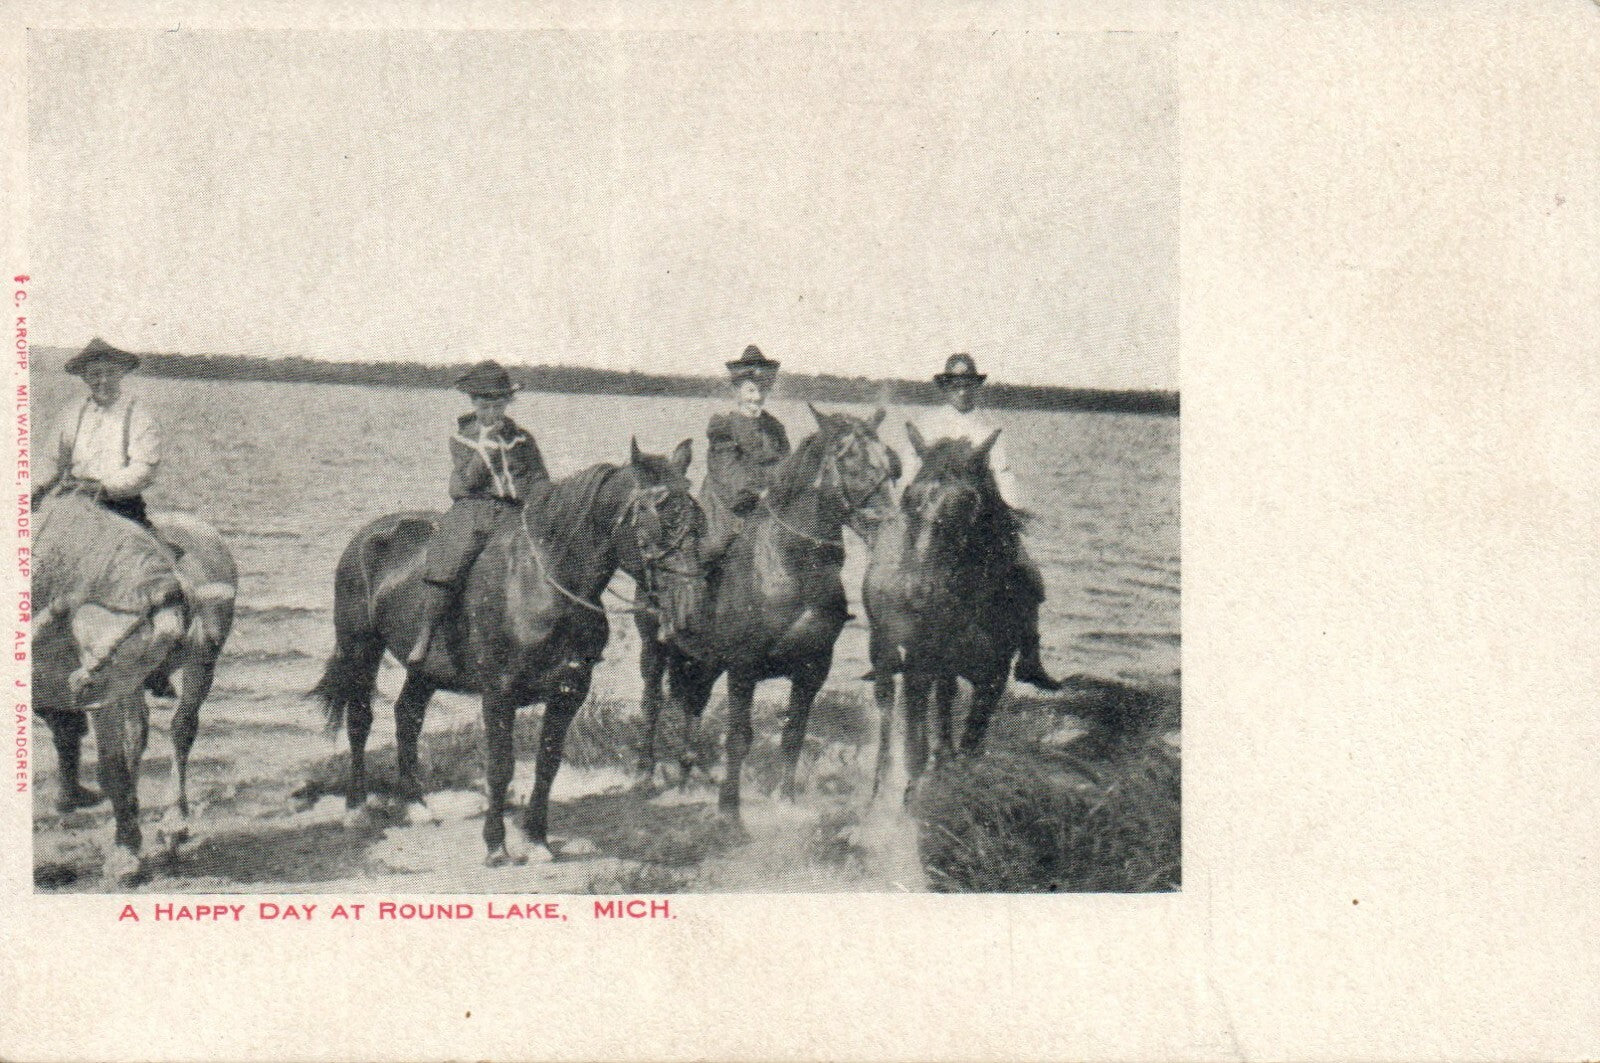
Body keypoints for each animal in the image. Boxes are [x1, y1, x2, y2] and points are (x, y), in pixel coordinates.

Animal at [33, 488, 238, 884]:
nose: (203, 637)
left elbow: (113, 761)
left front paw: (125, 854)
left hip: (196, 672)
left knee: (180, 729)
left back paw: (174, 821)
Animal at [311, 439, 707, 865]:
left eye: (695, 515)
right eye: (658, 513)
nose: (690, 598)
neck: (544, 585)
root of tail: (367, 536)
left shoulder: (569, 692)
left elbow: (548, 763)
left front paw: (537, 839)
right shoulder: (498, 694)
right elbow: (500, 767)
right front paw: (496, 845)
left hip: (425, 670)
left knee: (407, 716)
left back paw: (416, 804)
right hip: (360, 648)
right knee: (360, 720)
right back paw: (356, 808)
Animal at [634, 405, 898, 821]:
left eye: (888, 460)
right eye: (850, 458)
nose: (888, 523)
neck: (792, 566)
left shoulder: (813, 668)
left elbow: (794, 735)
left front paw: (785, 800)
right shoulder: (744, 666)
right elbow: (739, 737)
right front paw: (729, 807)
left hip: (705, 660)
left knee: (693, 702)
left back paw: (688, 774)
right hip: (654, 647)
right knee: (652, 702)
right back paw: (646, 775)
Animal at [863, 424, 1027, 801]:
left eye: (967, 501)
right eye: (909, 496)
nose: (916, 590)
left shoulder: (994, 676)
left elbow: (971, 741)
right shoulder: (919, 665)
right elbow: (915, 749)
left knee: (945, 702)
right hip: (884, 648)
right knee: (887, 707)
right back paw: (880, 784)